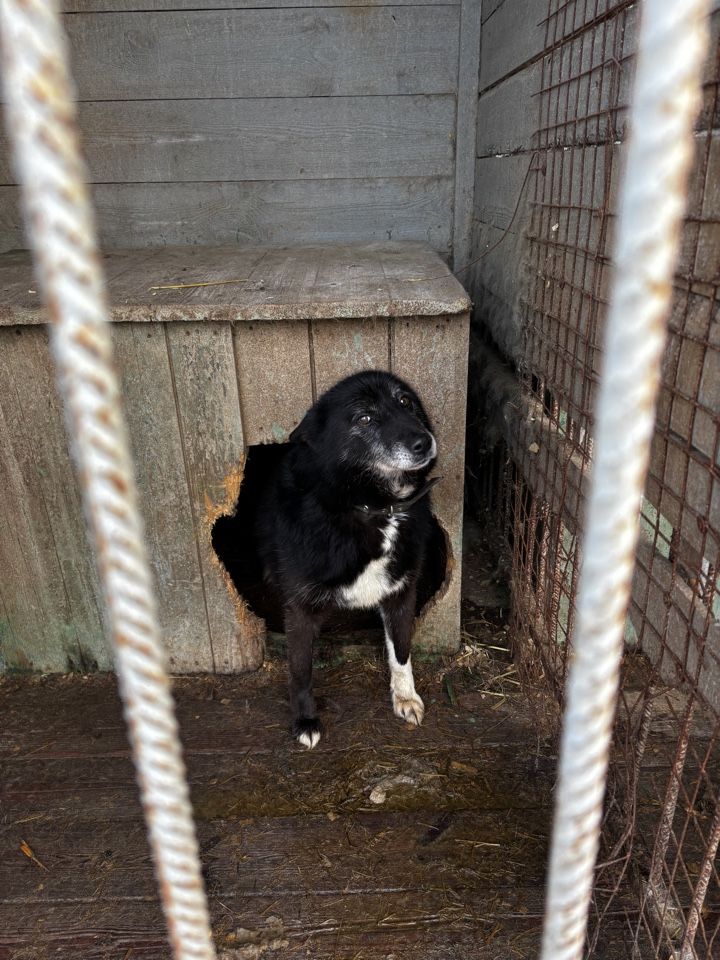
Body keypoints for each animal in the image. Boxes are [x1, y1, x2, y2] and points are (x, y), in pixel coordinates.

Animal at [256, 370, 439, 749]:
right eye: (364, 419)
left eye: (405, 402)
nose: (423, 442)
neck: (376, 507)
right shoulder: (300, 608)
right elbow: (301, 671)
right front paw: (305, 721)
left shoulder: (402, 593)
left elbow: (401, 651)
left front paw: (405, 697)